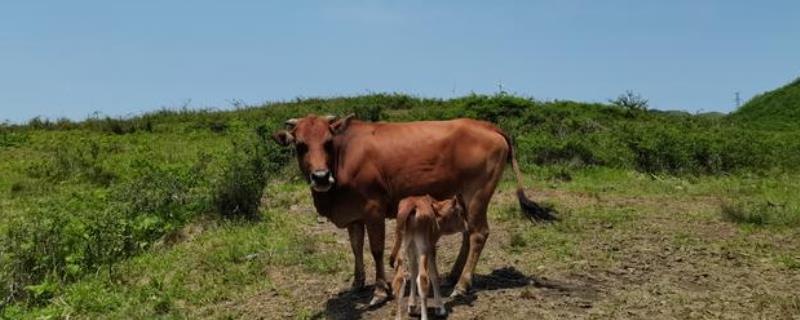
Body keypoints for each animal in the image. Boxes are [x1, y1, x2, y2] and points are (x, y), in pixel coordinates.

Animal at [272, 114, 552, 304]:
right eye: (300, 145)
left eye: (328, 142)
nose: (320, 176)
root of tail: (486, 125)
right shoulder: (353, 215)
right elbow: (356, 247)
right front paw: (357, 282)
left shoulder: (374, 210)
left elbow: (375, 249)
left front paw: (380, 290)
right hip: (463, 197)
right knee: (467, 232)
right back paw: (453, 275)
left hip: (477, 194)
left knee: (478, 234)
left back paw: (462, 284)